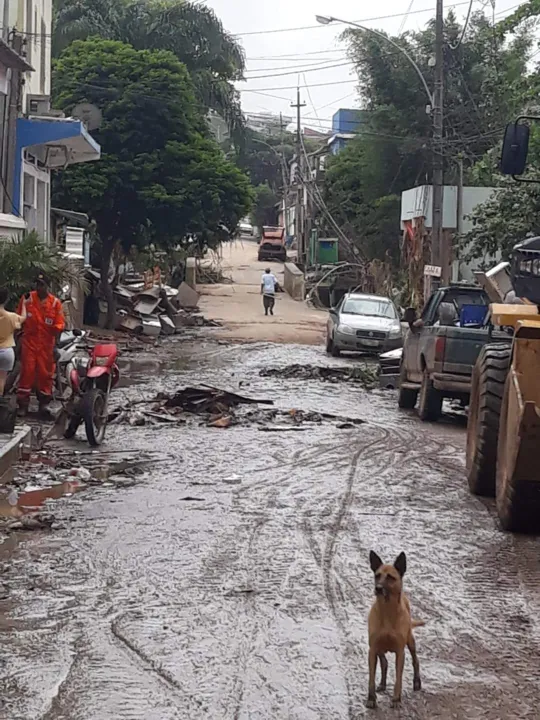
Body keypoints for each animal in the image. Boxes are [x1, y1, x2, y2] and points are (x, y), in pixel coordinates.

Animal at [364, 552, 424, 708]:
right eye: (377, 575)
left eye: (391, 577)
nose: (378, 588)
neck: (387, 611)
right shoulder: (372, 649)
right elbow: (371, 677)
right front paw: (371, 698)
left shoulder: (400, 651)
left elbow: (398, 677)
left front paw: (396, 699)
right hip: (378, 647)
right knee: (384, 663)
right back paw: (382, 684)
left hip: (410, 640)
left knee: (415, 660)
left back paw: (417, 682)